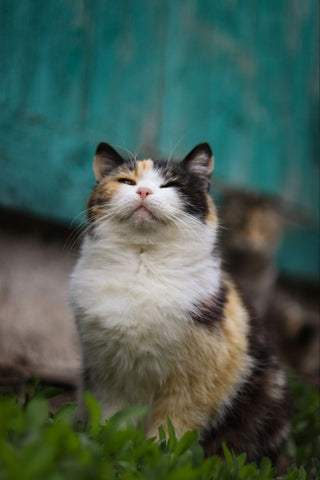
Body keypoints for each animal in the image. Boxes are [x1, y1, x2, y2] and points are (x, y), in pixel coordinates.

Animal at [70, 142, 290, 462]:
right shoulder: (108, 374)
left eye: (170, 185)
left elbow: (173, 430)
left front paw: (156, 457)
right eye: (126, 181)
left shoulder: (194, 382)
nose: (143, 191)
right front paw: (108, 446)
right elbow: (114, 420)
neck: (143, 266)